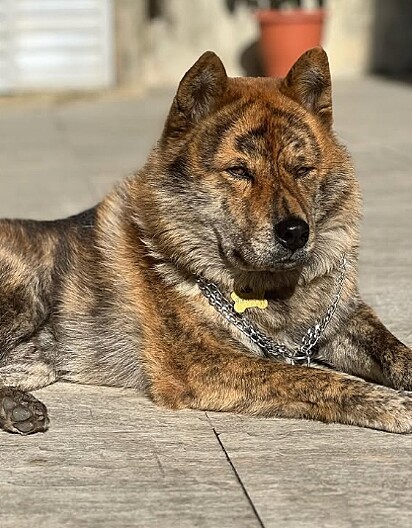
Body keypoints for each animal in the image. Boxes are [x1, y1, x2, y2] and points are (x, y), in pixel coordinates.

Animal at [0, 47, 412, 436]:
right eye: (239, 171)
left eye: (302, 170)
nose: (295, 232)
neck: (268, 289)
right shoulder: (205, 364)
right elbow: (316, 379)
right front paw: (395, 404)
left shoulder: (342, 320)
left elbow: (395, 350)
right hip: (29, 292)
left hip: (39, 359)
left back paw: (15, 407)